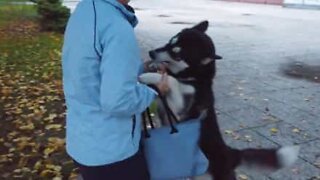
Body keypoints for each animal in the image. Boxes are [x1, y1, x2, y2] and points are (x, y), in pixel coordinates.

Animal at [140, 20, 300, 179]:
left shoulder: (180, 111)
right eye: (170, 42)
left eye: (176, 53)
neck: (194, 78)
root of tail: (231, 153)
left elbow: (171, 80)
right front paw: (152, 68)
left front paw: (148, 76)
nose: (151, 53)